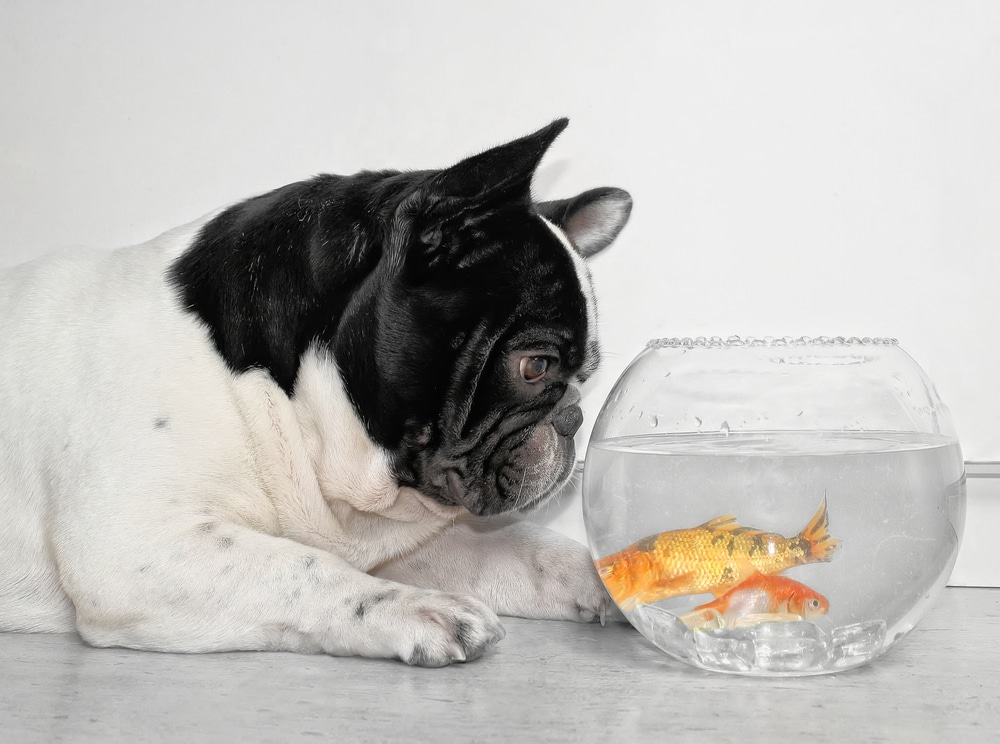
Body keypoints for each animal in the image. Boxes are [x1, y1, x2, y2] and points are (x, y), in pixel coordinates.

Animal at [0, 119, 632, 664]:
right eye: (535, 367)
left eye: (586, 375)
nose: (573, 416)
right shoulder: (135, 549)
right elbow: (301, 569)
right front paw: (415, 609)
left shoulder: (399, 540)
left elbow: (527, 549)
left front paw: (611, 572)